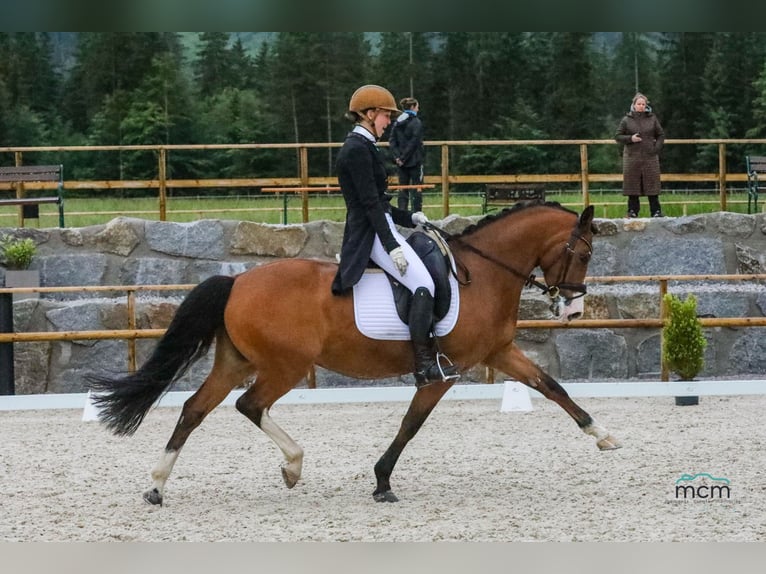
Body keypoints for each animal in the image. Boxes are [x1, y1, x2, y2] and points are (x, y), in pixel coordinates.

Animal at [88, 200, 624, 506]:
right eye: (585, 254)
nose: (574, 310)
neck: (485, 274)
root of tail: (237, 281)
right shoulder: (445, 372)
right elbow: (411, 424)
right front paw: (383, 482)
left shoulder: (499, 352)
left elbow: (550, 386)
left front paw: (603, 436)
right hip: (285, 366)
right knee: (248, 404)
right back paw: (292, 465)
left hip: (236, 361)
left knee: (195, 410)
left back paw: (157, 486)